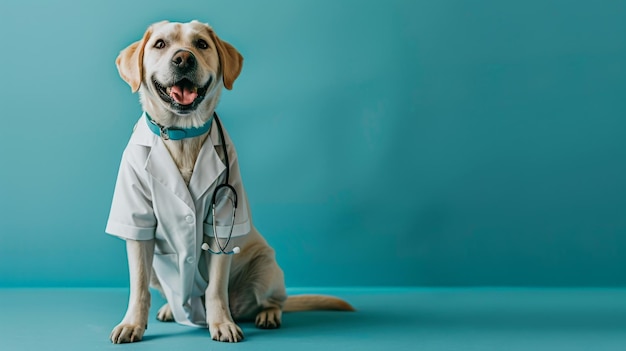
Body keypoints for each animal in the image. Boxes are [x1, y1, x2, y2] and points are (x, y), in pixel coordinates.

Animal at [105, 20, 354, 346]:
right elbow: (138, 287)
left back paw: (266, 315)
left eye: (201, 44)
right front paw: (132, 323)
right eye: (160, 44)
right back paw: (172, 309)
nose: (183, 59)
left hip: (266, 266)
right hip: (160, 269)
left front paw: (222, 323)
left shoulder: (222, 223)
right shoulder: (137, 222)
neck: (182, 136)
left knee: (273, 301)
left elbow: (215, 287)